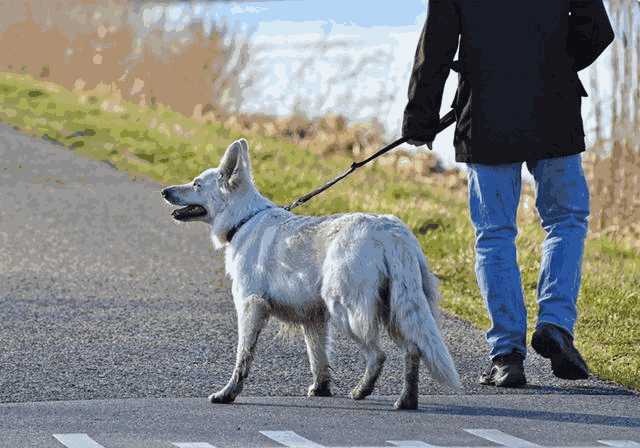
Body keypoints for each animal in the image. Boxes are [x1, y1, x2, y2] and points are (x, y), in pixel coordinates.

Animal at [161, 140, 460, 410]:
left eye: (196, 184)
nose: (164, 191)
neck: (243, 220)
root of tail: (392, 232)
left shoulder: (250, 307)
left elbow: (243, 357)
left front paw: (228, 393)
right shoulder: (313, 318)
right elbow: (318, 358)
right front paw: (321, 389)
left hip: (346, 310)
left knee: (379, 354)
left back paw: (362, 390)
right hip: (396, 310)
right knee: (413, 350)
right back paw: (406, 400)